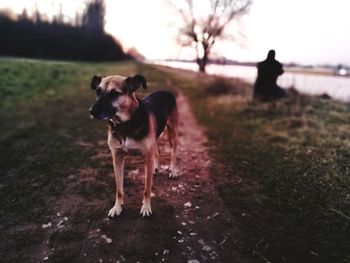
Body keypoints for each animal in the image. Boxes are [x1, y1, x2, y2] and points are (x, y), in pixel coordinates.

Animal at [89, 75, 179, 219]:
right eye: (98, 92)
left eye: (114, 94)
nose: (91, 111)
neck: (125, 124)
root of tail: (165, 91)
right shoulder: (117, 157)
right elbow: (119, 189)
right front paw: (117, 207)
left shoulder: (146, 155)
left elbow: (147, 189)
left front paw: (146, 207)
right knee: (157, 152)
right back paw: (155, 168)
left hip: (173, 131)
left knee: (174, 152)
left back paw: (173, 170)